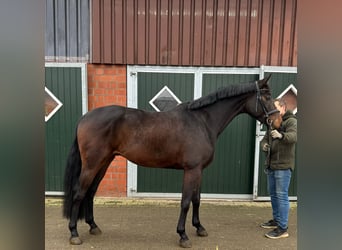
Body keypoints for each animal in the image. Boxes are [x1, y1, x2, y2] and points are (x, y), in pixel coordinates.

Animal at [63, 75, 280, 247]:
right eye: (267, 97)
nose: (277, 121)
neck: (202, 121)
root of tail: (85, 117)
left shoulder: (199, 170)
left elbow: (196, 199)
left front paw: (199, 228)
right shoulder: (191, 170)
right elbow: (185, 202)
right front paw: (183, 235)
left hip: (104, 162)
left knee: (90, 192)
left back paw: (93, 226)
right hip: (92, 164)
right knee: (79, 193)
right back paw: (74, 233)